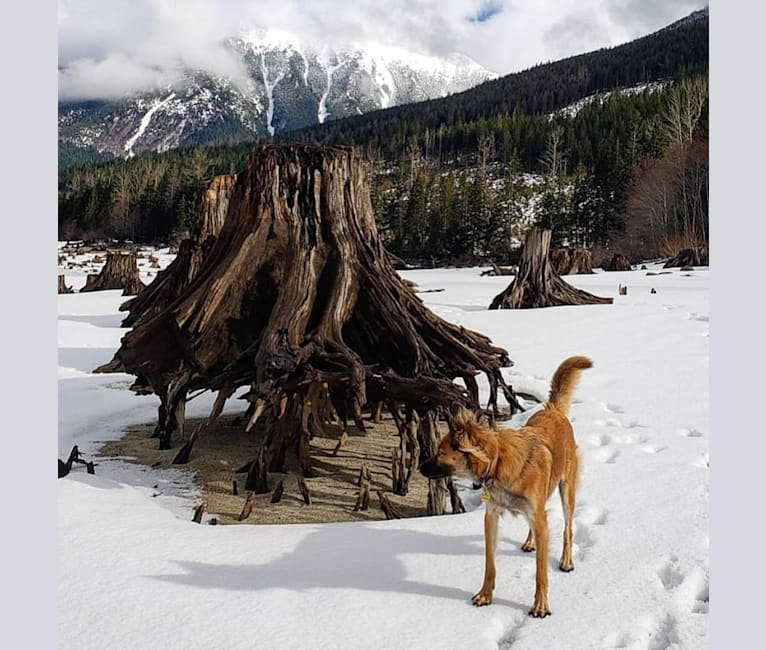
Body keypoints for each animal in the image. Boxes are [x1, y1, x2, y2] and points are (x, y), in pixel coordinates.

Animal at [420, 356, 592, 616]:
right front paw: (485, 595)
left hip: (566, 491)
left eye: (440, 452)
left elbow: (541, 571)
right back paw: (531, 542)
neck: (497, 462)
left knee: (567, 528)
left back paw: (566, 560)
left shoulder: (538, 515)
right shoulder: (491, 516)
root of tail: (551, 409)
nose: (420, 467)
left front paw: (540, 605)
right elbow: (489, 563)